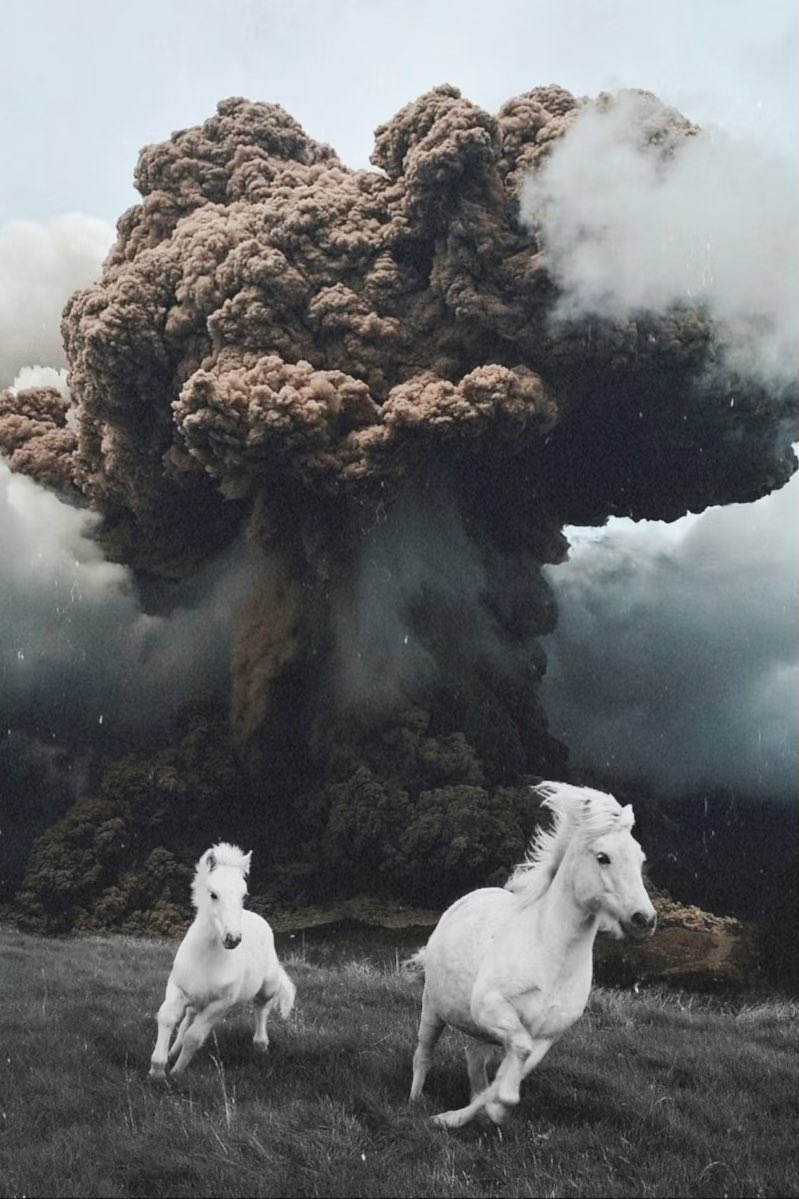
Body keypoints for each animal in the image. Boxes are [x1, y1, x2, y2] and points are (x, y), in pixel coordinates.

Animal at [149, 842, 296, 1079]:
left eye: (244, 895)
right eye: (213, 894)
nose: (232, 939)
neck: (206, 958)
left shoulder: (220, 1005)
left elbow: (194, 1037)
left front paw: (177, 1072)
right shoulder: (178, 989)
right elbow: (168, 1018)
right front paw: (158, 1070)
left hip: (267, 987)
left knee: (261, 1008)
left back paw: (261, 1046)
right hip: (196, 1000)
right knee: (187, 1018)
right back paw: (172, 1051)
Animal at [408, 781, 656, 1129]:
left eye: (640, 858)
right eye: (603, 857)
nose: (644, 919)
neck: (550, 956)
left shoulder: (546, 1037)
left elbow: (512, 1070)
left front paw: (482, 1112)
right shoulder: (492, 1008)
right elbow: (515, 1058)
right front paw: (467, 1114)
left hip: (481, 1033)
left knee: (475, 1063)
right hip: (433, 1007)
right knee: (423, 1053)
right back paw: (415, 1101)